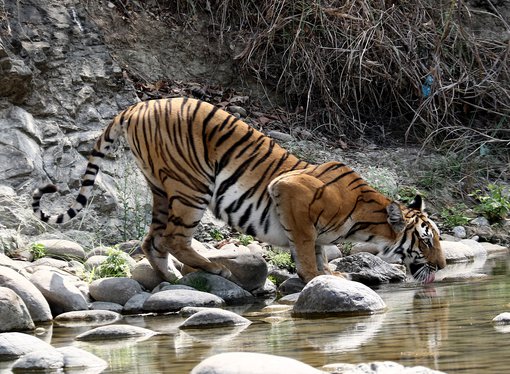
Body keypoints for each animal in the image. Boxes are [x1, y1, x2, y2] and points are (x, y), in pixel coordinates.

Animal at [32, 96, 446, 284]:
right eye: (426, 240)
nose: (442, 266)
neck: (366, 221)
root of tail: (136, 106)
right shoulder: (290, 191)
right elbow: (306, 244)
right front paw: (315, 277)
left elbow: (317, 246)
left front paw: (331, 274)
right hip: (192, 186)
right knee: (173, 238)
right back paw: (216, 268)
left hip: (162, 189)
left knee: (152, 240)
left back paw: (173, 280)